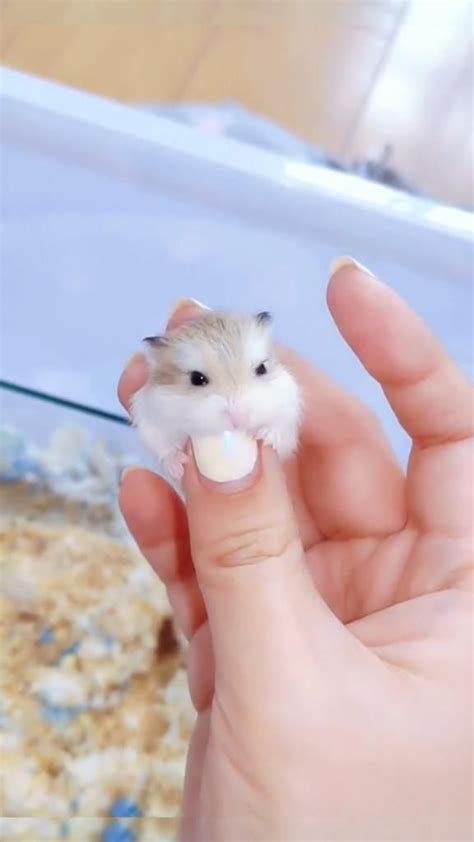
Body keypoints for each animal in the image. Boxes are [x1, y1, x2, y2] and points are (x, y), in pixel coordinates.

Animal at [131, 310, 302, 482]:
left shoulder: (289, 405)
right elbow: (163, 446)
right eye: (196, 379)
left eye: (262, 368)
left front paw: (265, 437)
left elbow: (281, 426)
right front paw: (179, 466)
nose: (238, 420)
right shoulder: (150, 420)